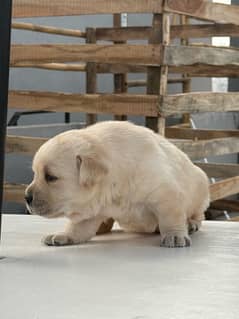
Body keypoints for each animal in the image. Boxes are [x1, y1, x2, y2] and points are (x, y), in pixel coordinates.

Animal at [25, 121, 209, 249]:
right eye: (35, 174)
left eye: (50, 177)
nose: (26, 197)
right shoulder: (92, 209)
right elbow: (77, 227)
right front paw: (63, 235)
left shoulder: (165, 192)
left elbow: (171, 217)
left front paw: (175, 235)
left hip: (201, 184)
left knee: (198, 214)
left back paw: (191, 224)